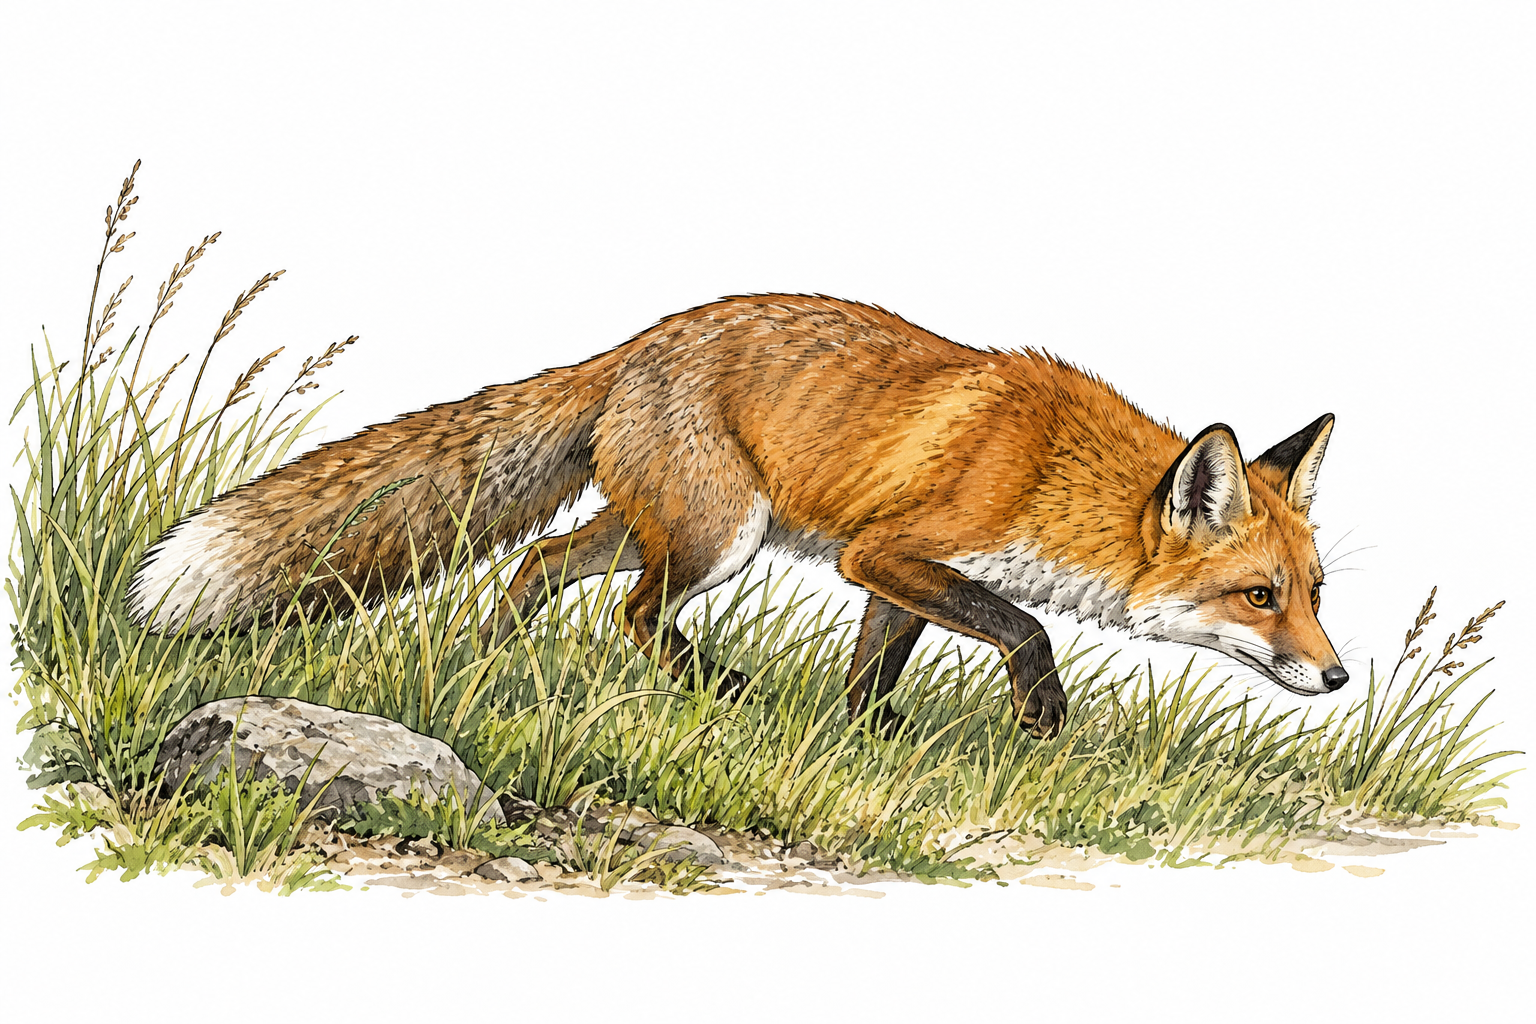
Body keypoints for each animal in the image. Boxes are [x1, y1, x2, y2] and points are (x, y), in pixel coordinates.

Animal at [129, 294, 1348, 739]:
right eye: (1259, 595)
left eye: (1317, 593)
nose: (1338, 675)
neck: (1055, 475)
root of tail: (635, 344)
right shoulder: (893, 549)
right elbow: (1026, 625)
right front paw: (1043, 717)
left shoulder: (885, 571)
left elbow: (875, 670)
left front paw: (865, 743)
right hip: (718, 537)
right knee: (629, 614)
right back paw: (718, 686)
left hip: (656, 525)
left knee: (538, 564)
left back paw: (484, 659)